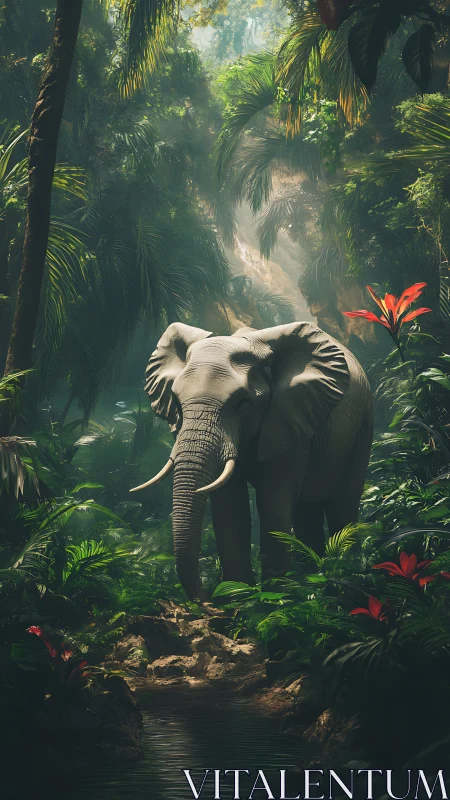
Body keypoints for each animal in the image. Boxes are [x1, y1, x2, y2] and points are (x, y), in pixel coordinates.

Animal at [130, 321, 373, 601]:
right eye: (177, 405)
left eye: (242, 403)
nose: (205, 599)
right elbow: (229, 508)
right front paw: (238, 598)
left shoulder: (287, 419)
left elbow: (273, 501)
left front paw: (274, 599)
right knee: (307, 512)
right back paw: (315, 583)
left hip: (362, 427)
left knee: (342, 506)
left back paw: (345, 582)